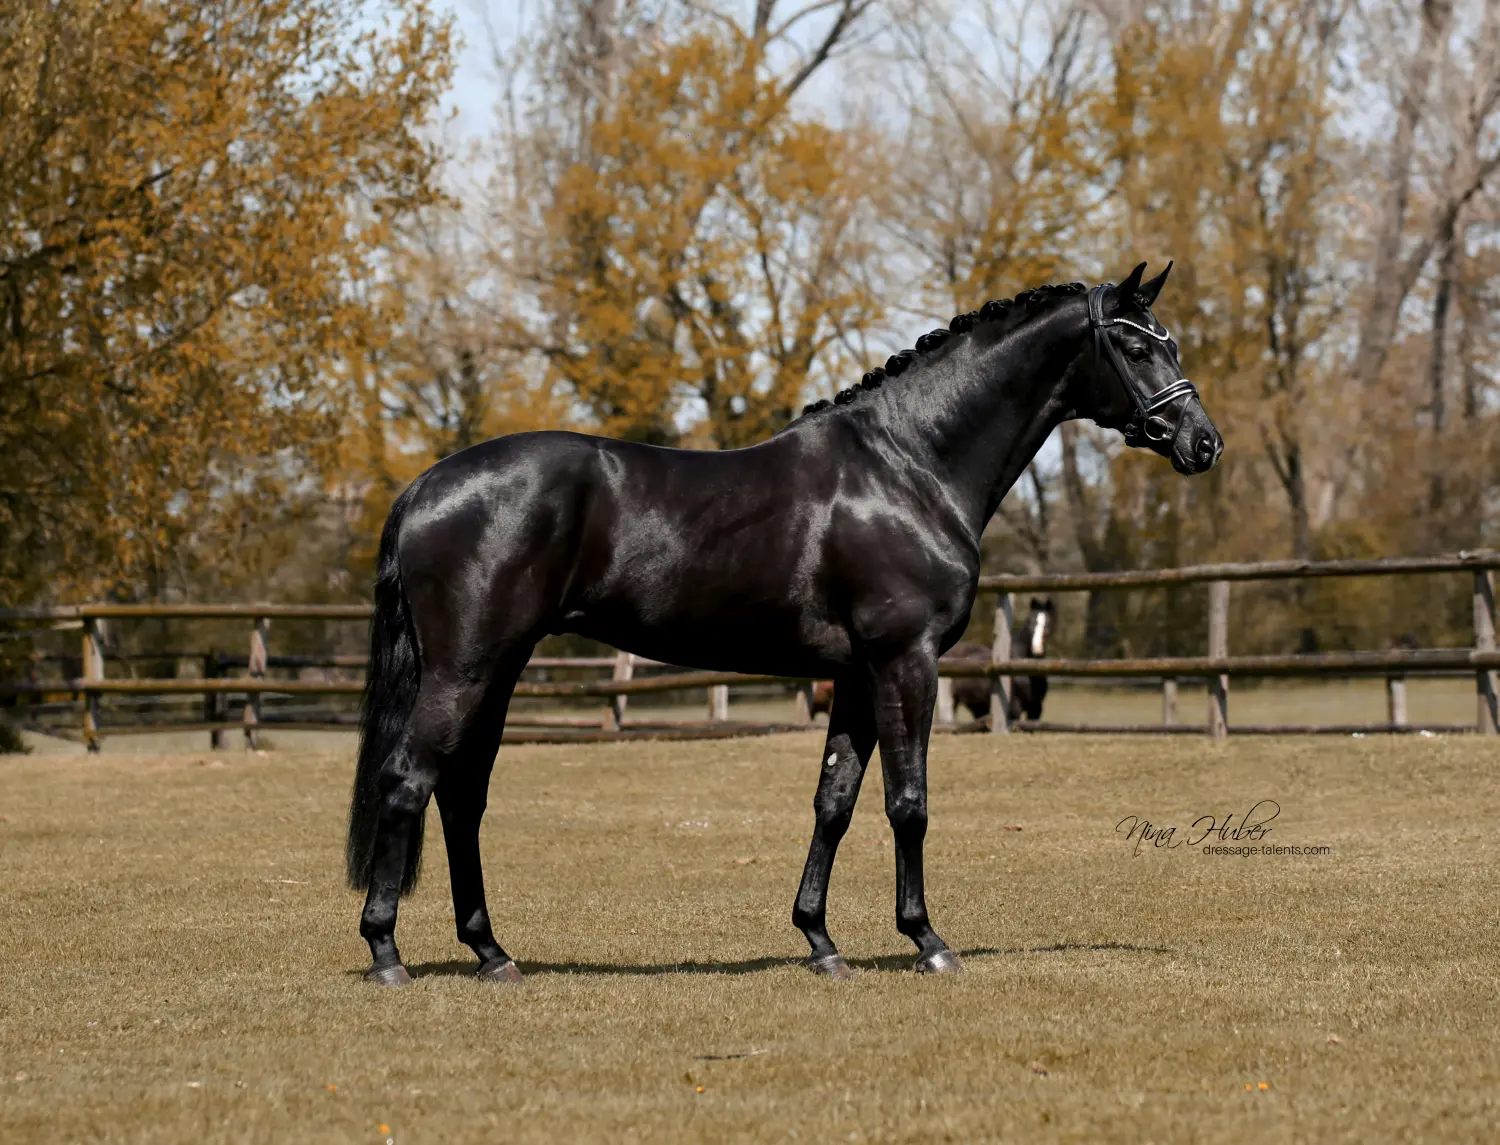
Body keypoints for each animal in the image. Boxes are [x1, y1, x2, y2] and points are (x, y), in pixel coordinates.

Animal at [345, 262, 1222, 984]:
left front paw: (820, 941)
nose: (1202, 441)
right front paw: (927, 940)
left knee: (461, 795)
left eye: (1172, 342)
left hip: (497, 668)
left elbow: (834, 800)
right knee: (409, 781)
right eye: (1136, 346)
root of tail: (423, 486)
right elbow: (908, 800)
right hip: (465, 668)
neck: (907, 465)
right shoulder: (906, 660)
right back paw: (387, 951)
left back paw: (491, 951)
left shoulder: (857, 674)